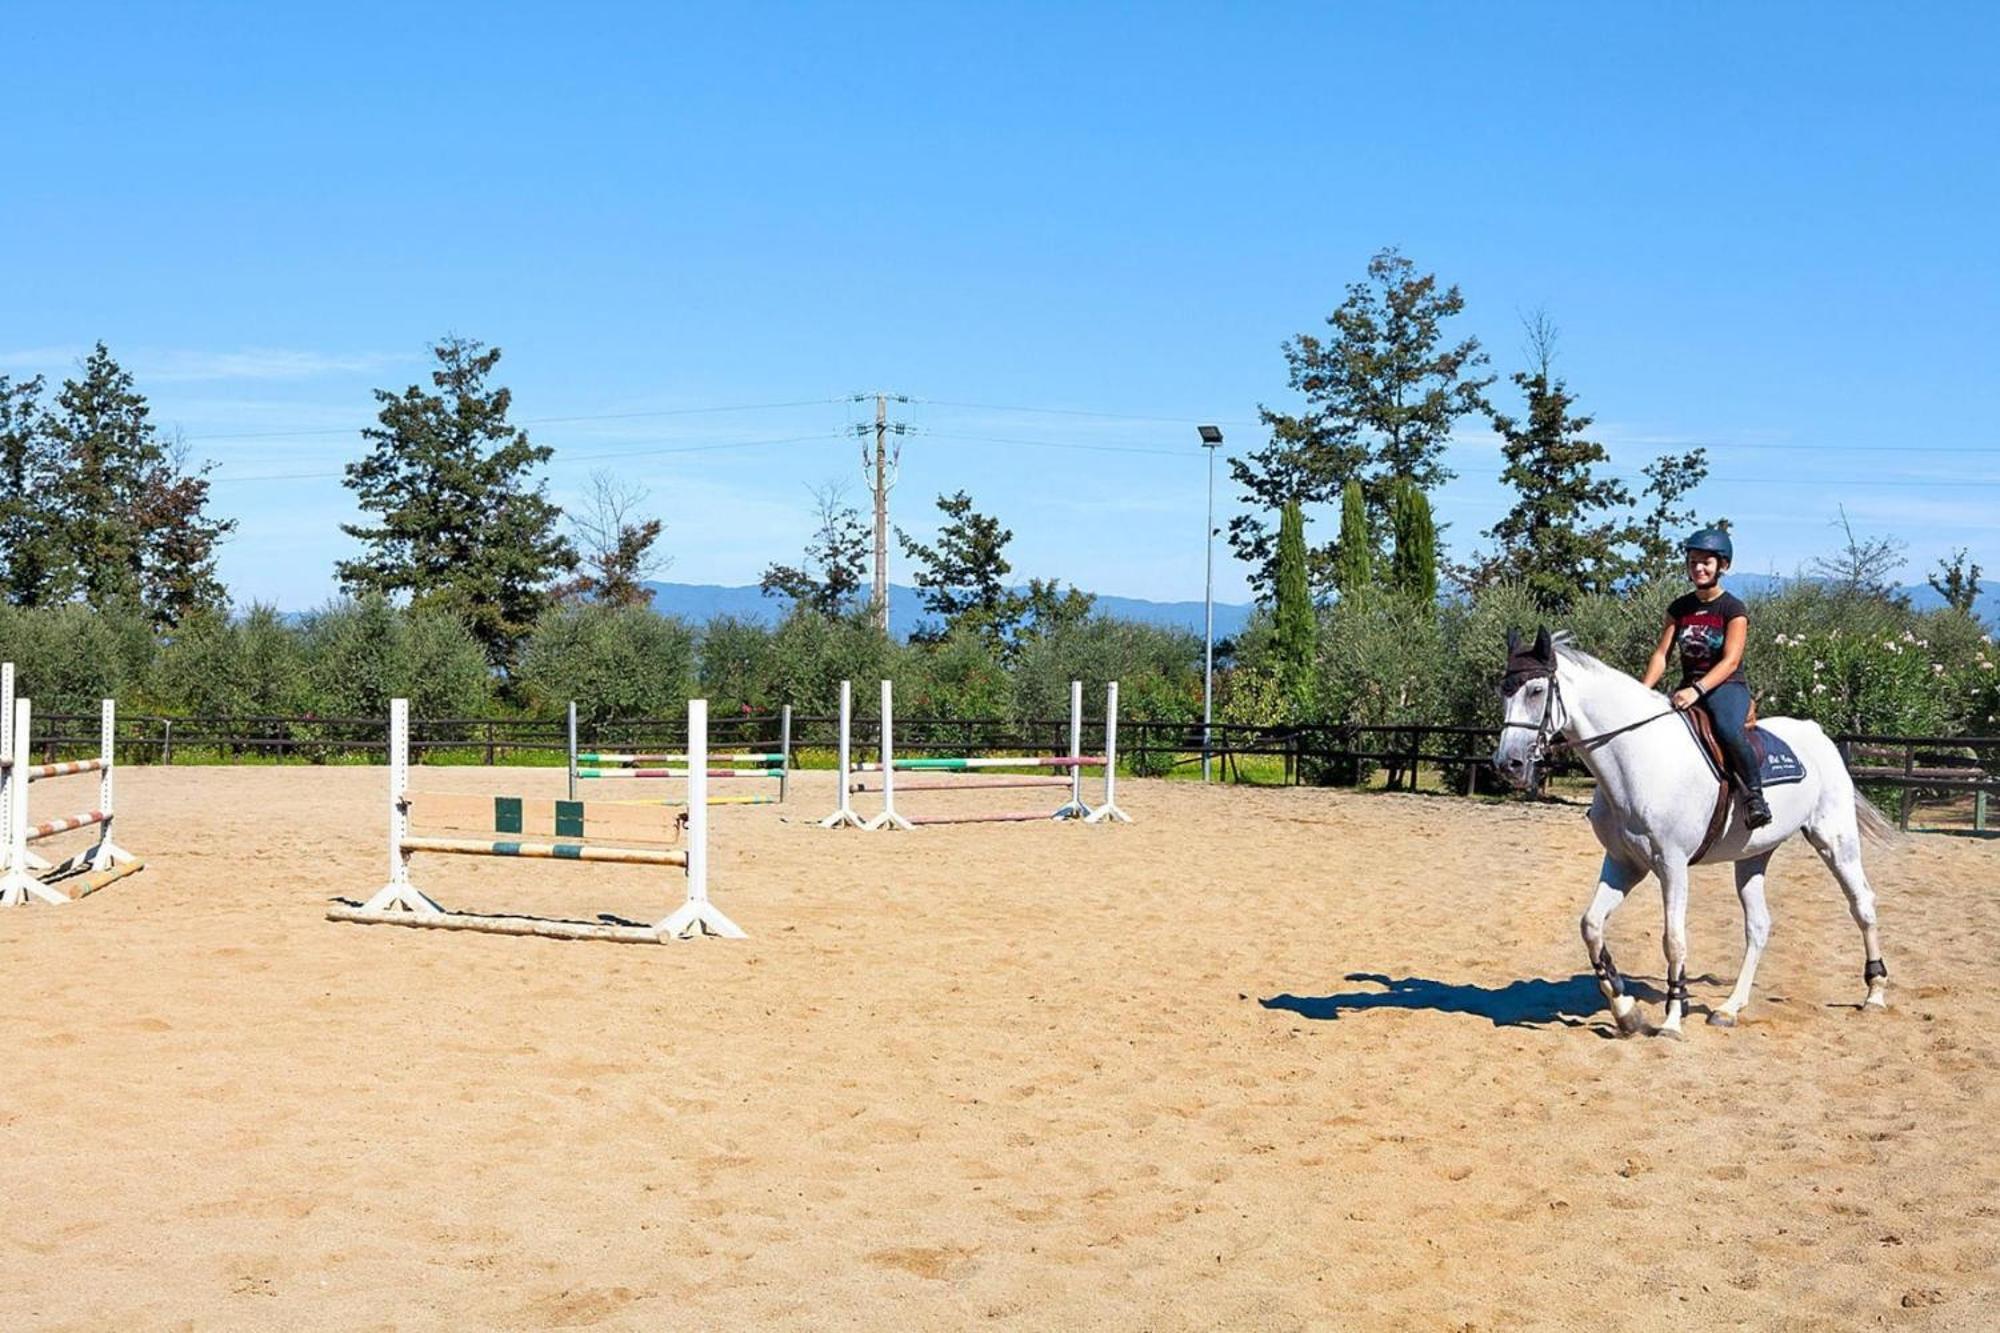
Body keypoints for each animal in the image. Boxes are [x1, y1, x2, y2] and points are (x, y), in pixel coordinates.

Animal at [1488, 624, 1888, 1040]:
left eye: (1536, 691)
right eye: (1504, 691)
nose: (1507, 764)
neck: (1636, 756)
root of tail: (1815, 732)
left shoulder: (1672, 866)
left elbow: (1674, 940)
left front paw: (1672, 1020)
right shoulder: (1624, 863)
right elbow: (1591, 926)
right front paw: (1626, 1012)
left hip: (1835, 840)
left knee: (1862, 904)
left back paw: (1875, 993)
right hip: (1753, 857)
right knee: (1758, 926)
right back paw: (1729, 1009)